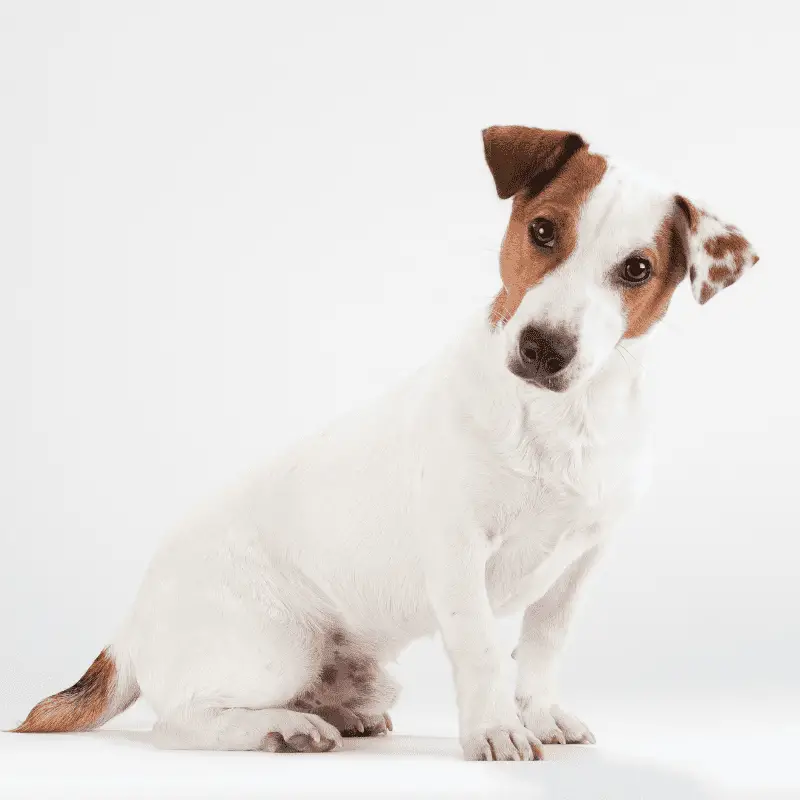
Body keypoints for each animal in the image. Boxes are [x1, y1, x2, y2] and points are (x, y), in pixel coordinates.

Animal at [15, 126, 760, 764]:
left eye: (637, 269)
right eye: (543, 230)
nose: (543, 349)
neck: (560, 418)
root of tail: (128, 630)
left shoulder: (582, 561)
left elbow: (545, 644)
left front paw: (540, 715)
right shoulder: (458, 550)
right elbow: (482, 649)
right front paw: (496, 731)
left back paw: (339, 715)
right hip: (276, 647)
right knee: (180, 722)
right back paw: (283, 729)